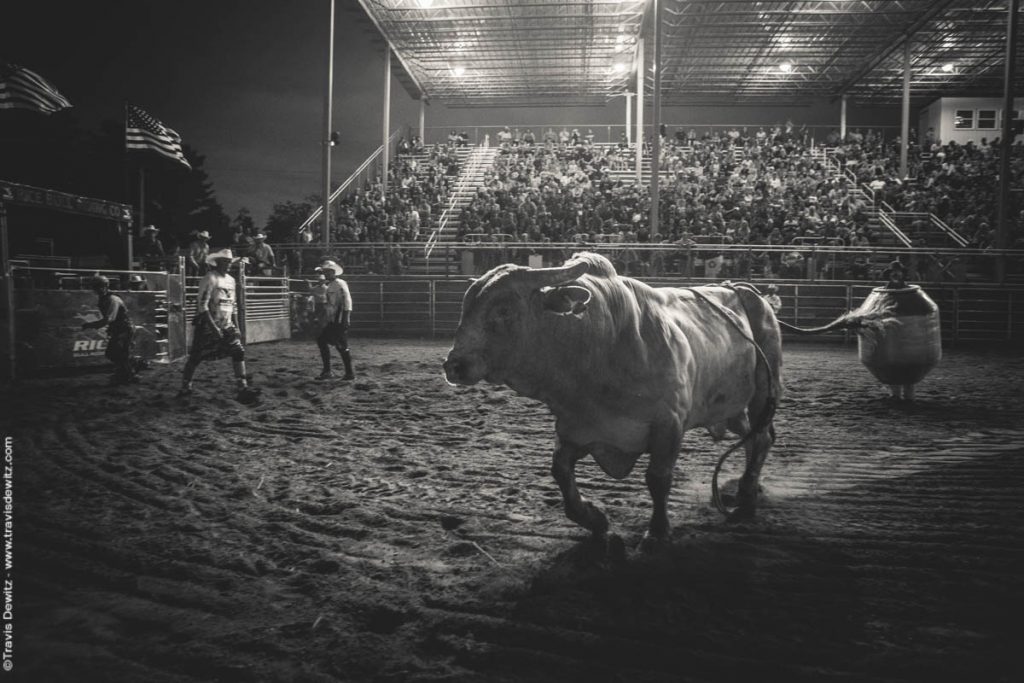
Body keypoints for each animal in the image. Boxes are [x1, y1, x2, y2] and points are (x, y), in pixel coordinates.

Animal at [442, 252, 782, 548]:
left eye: (504, 310)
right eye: (465, 307)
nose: (454, 365)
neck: (602, 346)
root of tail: (747, 292)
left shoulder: (669, 426)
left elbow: (658, 478)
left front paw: (657, 533)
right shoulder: (575, 428)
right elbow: (560, 471)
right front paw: (595, 519)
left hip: (765, 390)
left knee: (761, 437)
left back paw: (746, 500)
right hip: (733, 409)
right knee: (752, 438)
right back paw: (748, 488)